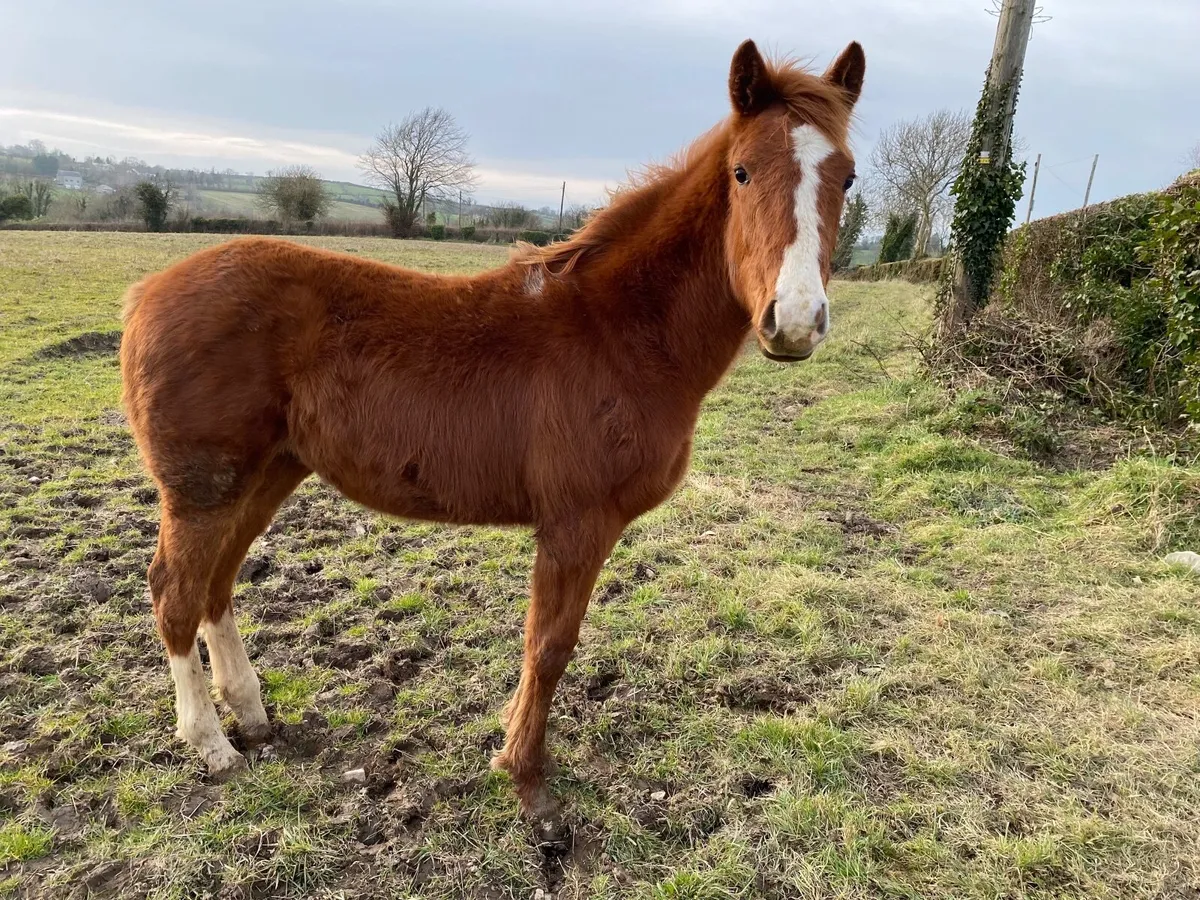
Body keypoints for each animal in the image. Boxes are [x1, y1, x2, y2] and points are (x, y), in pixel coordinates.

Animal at [119, 38, 865, 822]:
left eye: (846, 177)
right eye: (741, 171)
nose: (795, 320)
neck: (619, 332)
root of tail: (145, 294)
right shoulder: (576, 523)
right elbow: (550, 646)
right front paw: (526, 774)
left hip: (267, 474)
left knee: (217, 585)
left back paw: (253, 716)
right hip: (203, 489)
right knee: (175, 593)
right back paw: (212, 746)